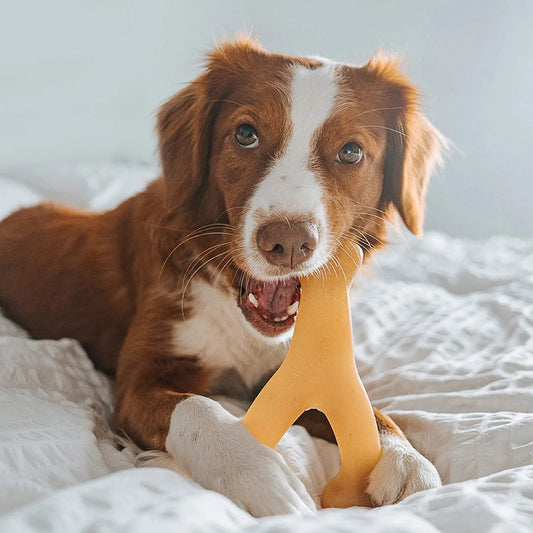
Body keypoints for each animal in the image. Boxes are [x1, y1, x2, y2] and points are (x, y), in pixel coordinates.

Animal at [0, 38, 444, 516]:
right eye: (246, 134)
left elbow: (371, 409)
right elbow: (199, 410)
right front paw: (261, 475)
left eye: (351, 152)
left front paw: (405, 458)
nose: (288, 242)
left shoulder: (286, 372)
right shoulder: (138, 381)